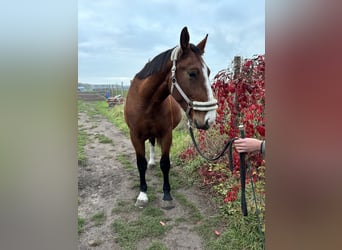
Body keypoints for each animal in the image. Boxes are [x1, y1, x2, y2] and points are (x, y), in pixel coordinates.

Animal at [124, 26, 218, 208]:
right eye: (192, 73)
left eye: (209, 72)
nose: (210, 118)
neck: (146, 103)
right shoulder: (135, 136)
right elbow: (140, 164)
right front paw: (142, 194)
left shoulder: (166, 134)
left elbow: (165, 163)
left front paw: (167, 194)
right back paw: (151, 162)